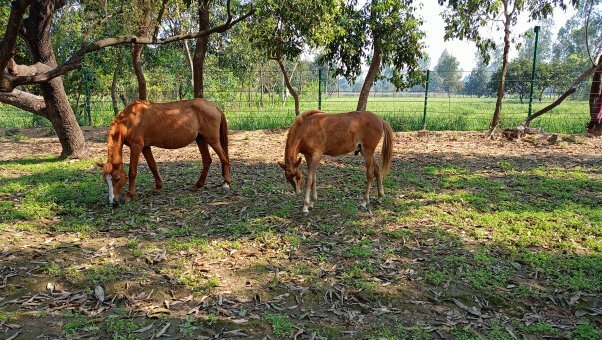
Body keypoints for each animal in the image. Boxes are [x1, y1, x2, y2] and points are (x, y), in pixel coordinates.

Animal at [98, 98, 230, 205]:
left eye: (117, 178)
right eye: (105, 180)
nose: (113, 202)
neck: (129, 120)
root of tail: (214, 106)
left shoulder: (136, 146)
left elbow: (132, 171)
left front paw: (129, 195)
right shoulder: (145, 147)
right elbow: (153, 166)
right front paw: (158, 187)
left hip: (212, 139)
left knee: (224, 158)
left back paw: (226, 183)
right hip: (200, 139)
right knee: (207, 160)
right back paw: (198, 185)